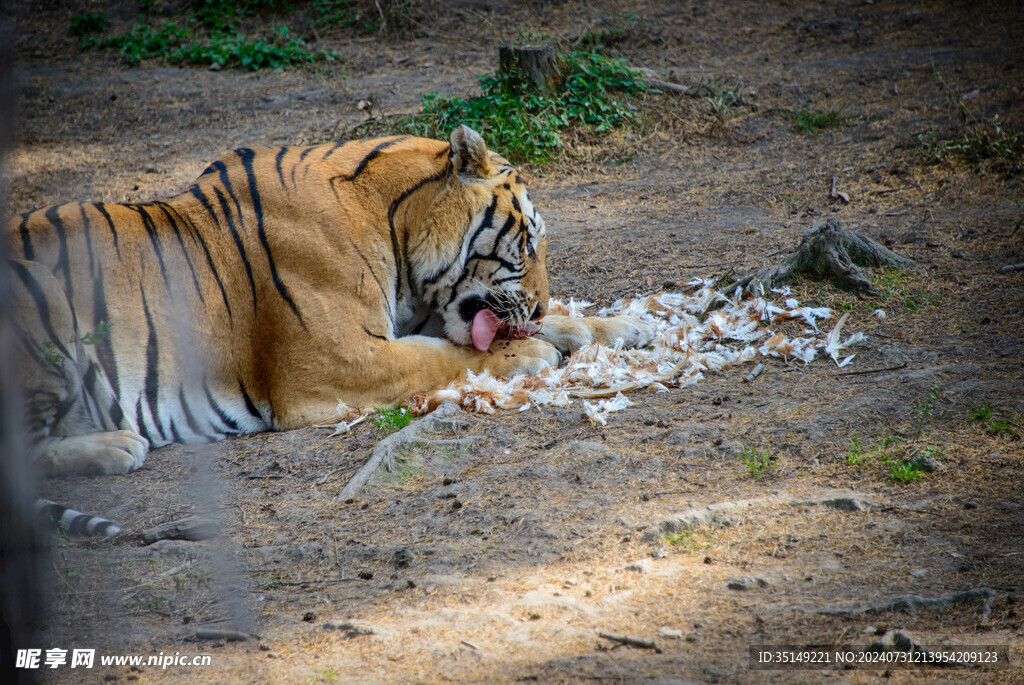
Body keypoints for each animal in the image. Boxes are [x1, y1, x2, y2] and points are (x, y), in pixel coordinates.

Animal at [6, 124, 647, 497]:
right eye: (529, 241)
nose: (534, 306)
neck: (398, 230)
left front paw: (624, 325)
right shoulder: (338, 359)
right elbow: (441, 357)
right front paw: (532, 350)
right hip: (41, 298)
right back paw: (117, 446)